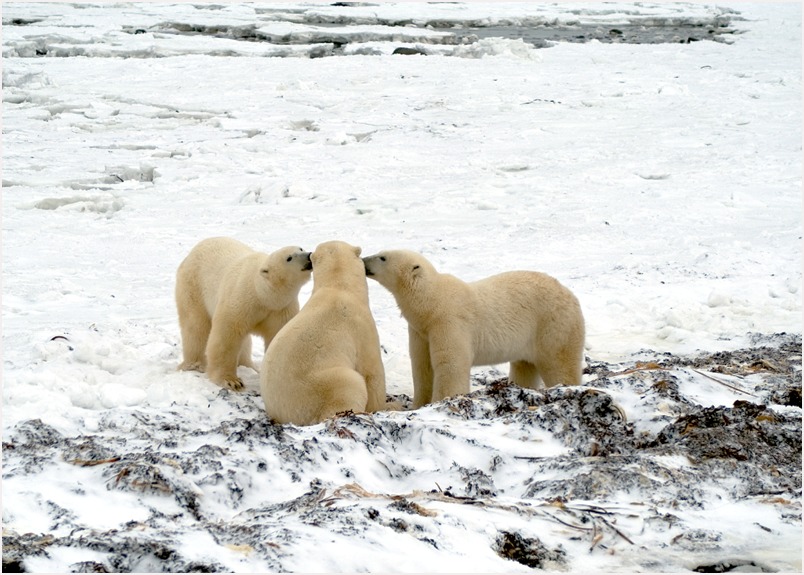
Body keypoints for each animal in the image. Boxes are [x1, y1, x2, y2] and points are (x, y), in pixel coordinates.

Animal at [175, 237, 310, 392]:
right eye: (289, 258)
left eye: (300, 248)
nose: (309, 256)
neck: (263, 295)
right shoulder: (240, 300)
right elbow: (227, 336)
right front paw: (231, 381)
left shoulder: (281, 309)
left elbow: (279, 337)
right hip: (193, 286)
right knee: (195, 326)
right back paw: (194, 364)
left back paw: (248, 365)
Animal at [260, 241, 390, 426]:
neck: (338, 287)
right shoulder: (361, 326)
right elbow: (371, 371)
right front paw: (386, 406)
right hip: (323, 386)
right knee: (350, 385)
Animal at [364, 250, 584, 408]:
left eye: (382, 257)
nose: (364, 261)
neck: (432, 303)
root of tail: (571, 295)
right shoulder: (421, 330)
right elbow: (422, 366)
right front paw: (418, 405)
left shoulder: (449, 322)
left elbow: (450, 364)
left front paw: (441, 401)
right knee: (524, 365)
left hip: (553, 325)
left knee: (559, 363)